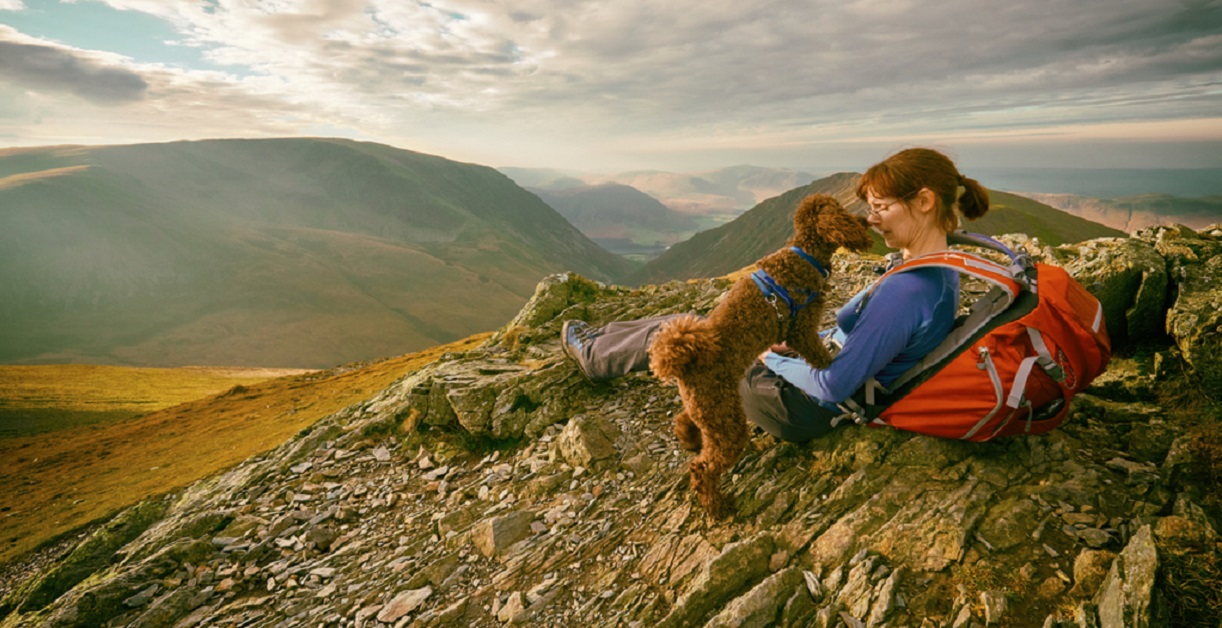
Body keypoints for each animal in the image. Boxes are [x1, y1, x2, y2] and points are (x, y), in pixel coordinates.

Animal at [650, 193, 870, 515]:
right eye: (842, 212)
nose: (865, 221)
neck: (803, 254)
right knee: (702, 469)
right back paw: (716, 507)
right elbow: (822, 360)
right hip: (726, 421)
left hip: (711, 410)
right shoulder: (801, 331)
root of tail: (684, 362)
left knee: (686, 422)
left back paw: (690, 440)